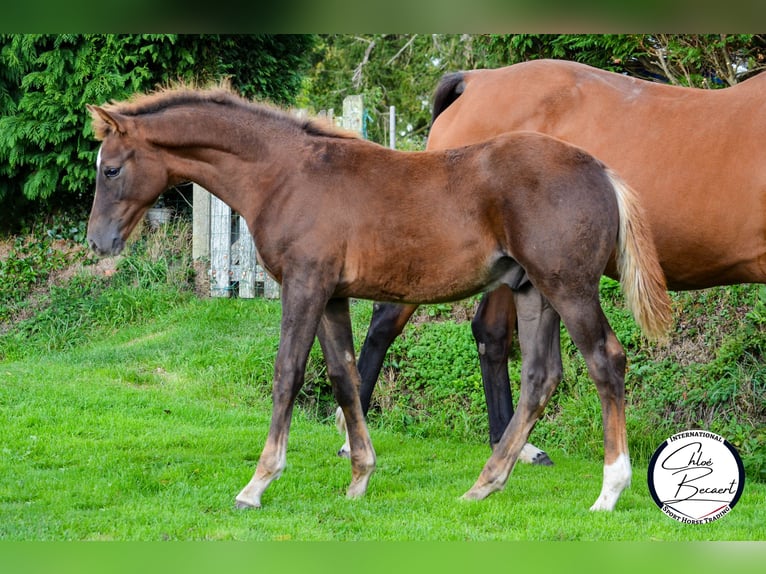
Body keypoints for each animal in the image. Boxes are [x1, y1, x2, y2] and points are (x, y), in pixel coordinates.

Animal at [85, 84, 672, 508]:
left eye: (111, 169)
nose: (98, 242)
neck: (287, 174)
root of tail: (602, 171)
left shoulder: (304, 284)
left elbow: (288, 373)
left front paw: (257, 484)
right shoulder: (331, 295)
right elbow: (344, 375)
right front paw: (359, 477)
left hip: (569, 288)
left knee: (605, 361)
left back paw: (608, 492)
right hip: (533, 293)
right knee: (541, 376)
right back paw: (484, 484)